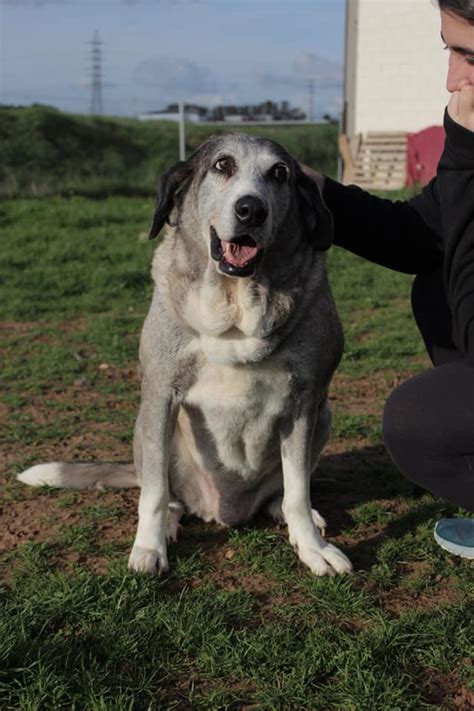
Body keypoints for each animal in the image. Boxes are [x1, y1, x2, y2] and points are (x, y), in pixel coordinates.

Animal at [17, 134, 352, 580]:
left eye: (279, 173)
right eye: (222, 165)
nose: (251, 209)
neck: (235, 305)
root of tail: (223, 511)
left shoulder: (307, 401)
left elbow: (297, 490)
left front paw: (313, 548)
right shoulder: (160, 396)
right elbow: (155, 492)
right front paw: (148, 546)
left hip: (324, 415)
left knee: (281, 496)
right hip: (145, 429)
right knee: (164, 491)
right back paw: (169, 522)